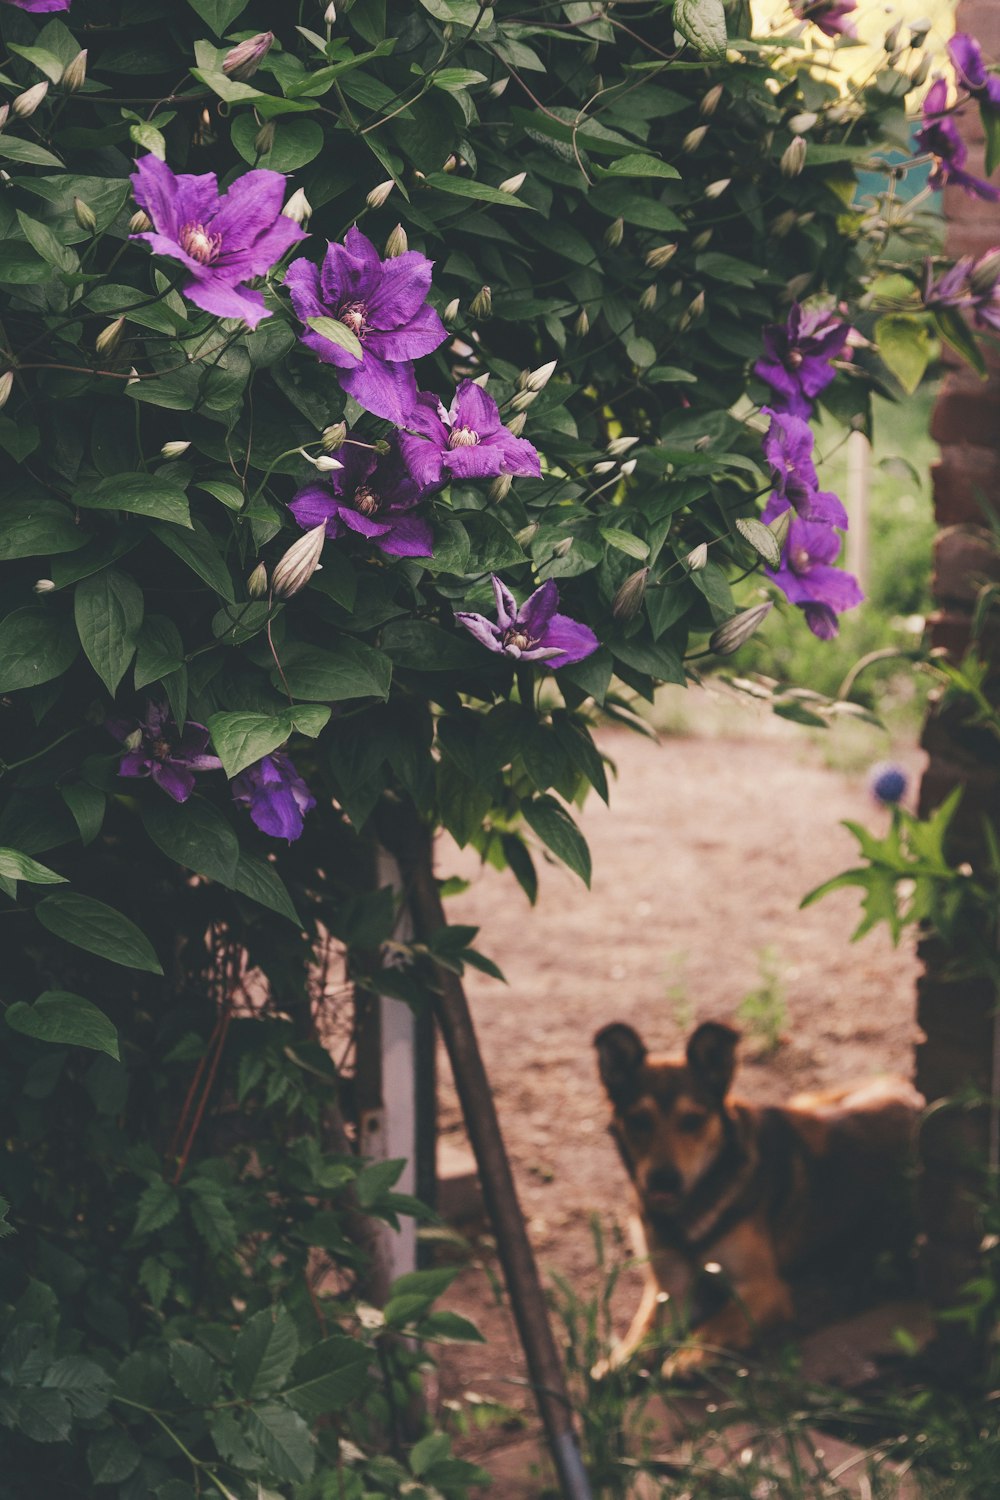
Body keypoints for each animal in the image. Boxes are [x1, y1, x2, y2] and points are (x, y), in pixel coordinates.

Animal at [593, 1014, 923, 1374]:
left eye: (692, 1120)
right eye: (639, 1120)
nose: (663, 1181)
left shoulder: (765, 1289)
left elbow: (717, 1322)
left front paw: (689, 1355)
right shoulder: (669, 1287)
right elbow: (645, 1328)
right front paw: (618, 1360)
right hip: (809, 1101)